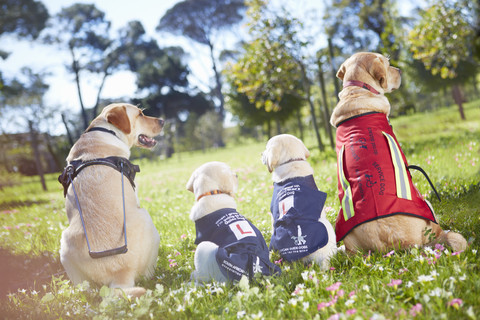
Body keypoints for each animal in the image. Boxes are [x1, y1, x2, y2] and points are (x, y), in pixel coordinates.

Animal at [58, 103, 164, 298]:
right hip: (147, 219)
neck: (106, 132)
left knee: (85, 289)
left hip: (64, 245)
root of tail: (120, 276)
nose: (162, 121)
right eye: (140, 114)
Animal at [330, 52, 464, 252]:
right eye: (387, 64)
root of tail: (397, 246)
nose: (400, 70)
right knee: (441, 231)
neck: (357, 90)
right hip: (428, 206)